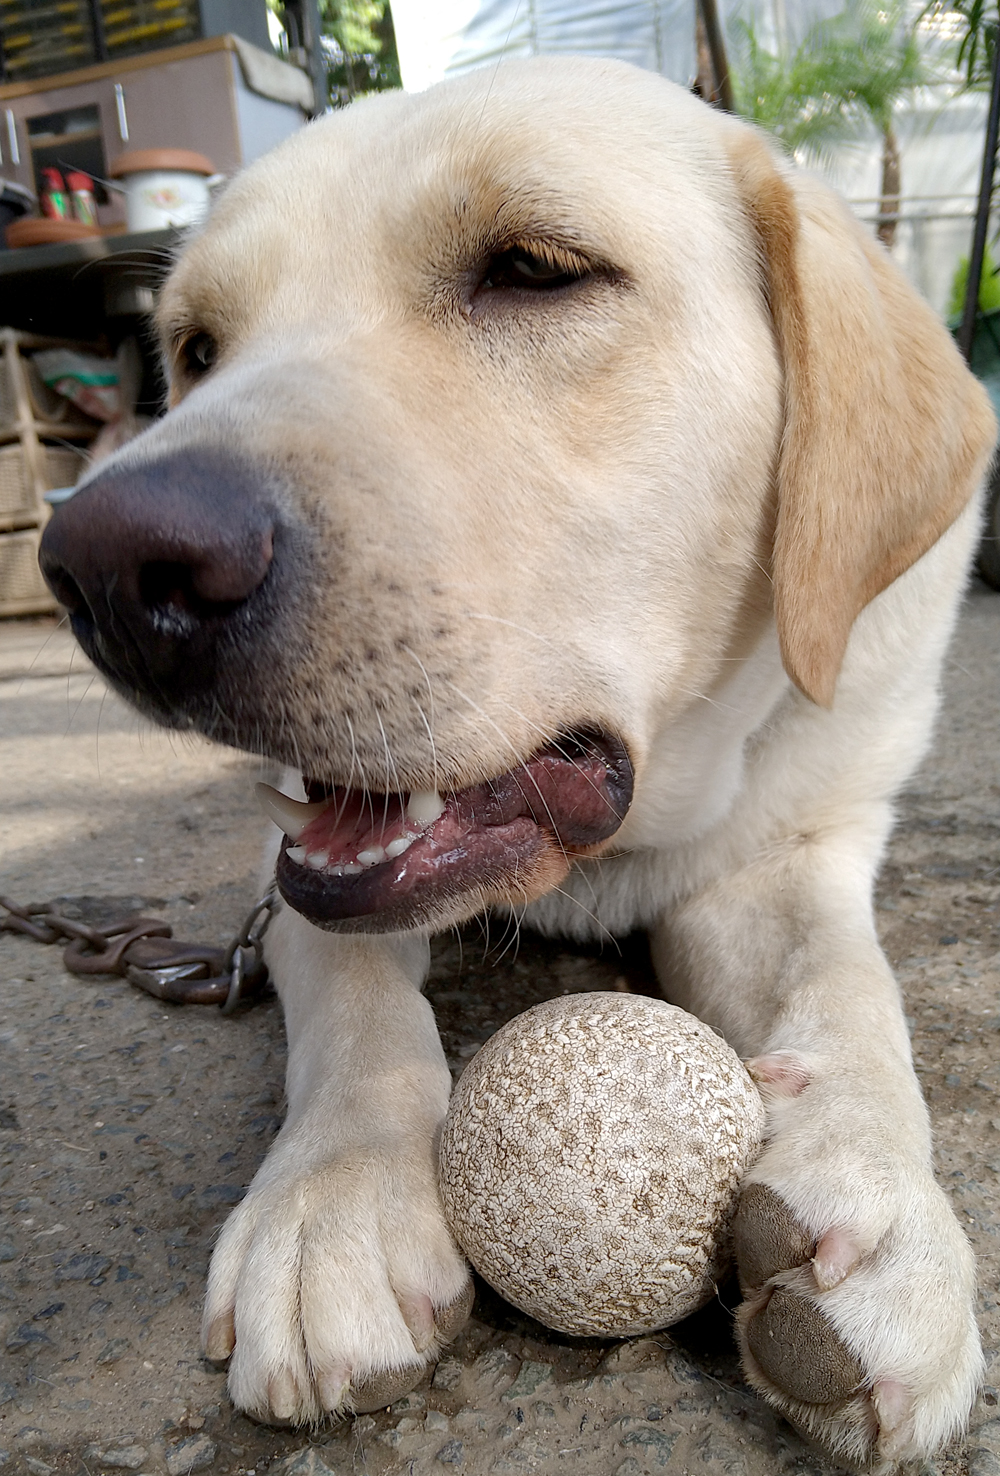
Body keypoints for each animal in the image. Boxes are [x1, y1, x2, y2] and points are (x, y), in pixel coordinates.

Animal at [39, 57, 997, 1476]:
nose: (104, 568)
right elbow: (354, 1004)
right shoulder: (291, 866)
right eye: (197, 351)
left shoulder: (792, 849)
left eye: (536, 271)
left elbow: (851, 993)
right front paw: (332, 1198)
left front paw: (883, 1215)